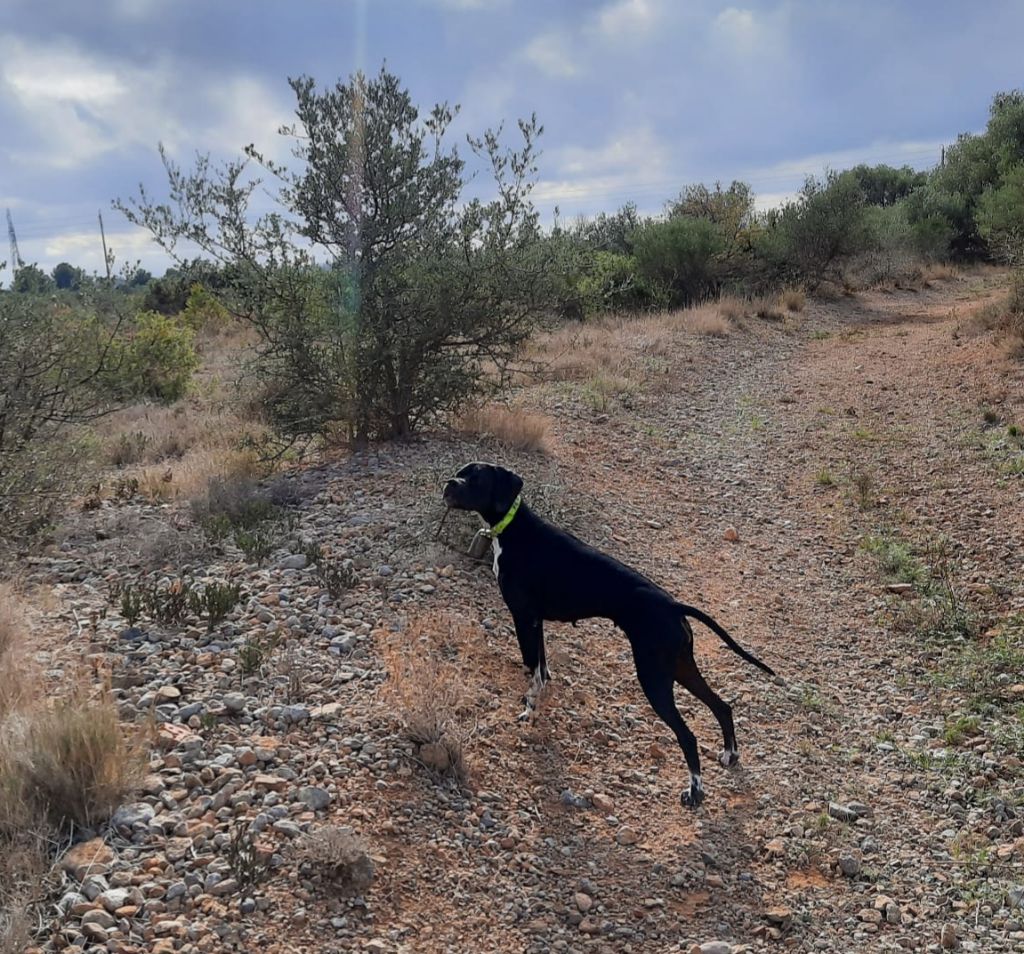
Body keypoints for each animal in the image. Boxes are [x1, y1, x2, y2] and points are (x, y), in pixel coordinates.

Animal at [442, 460, 774, 806]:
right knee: (721, 706)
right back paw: (729, 754)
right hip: (679, 667)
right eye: (461, 472)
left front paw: (529, 711)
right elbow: (542, 670)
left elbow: (532, 671)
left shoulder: (525, 618)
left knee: (688, 735)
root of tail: (672, 605)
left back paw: (694, 790)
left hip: (653, 677)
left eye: (477, 479)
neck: (514, 528)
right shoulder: (537, 623)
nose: (449, 484)